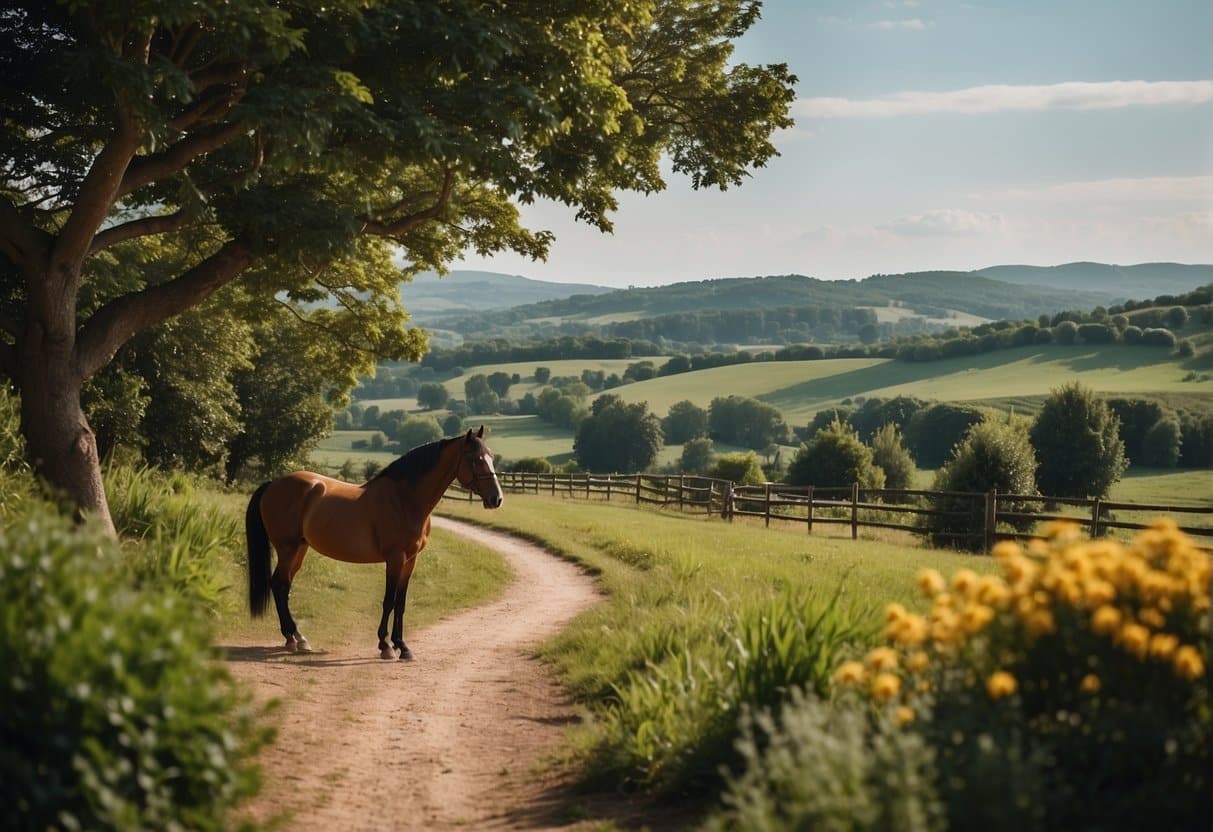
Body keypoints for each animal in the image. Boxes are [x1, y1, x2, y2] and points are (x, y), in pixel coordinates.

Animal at [246, 426, 502, 659]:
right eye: (475, 460)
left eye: (491, 456)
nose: (496, 499)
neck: (404, 500)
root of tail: (273, 484)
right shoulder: (395, 558)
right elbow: (389, 601)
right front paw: (385, 645)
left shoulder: (410, 560)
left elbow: (401, 602)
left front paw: (403, 646)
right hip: (287, 548)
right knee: (279, 584)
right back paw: (292, 638)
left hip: (300, 548)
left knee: (284, 586)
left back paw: (298, 638)